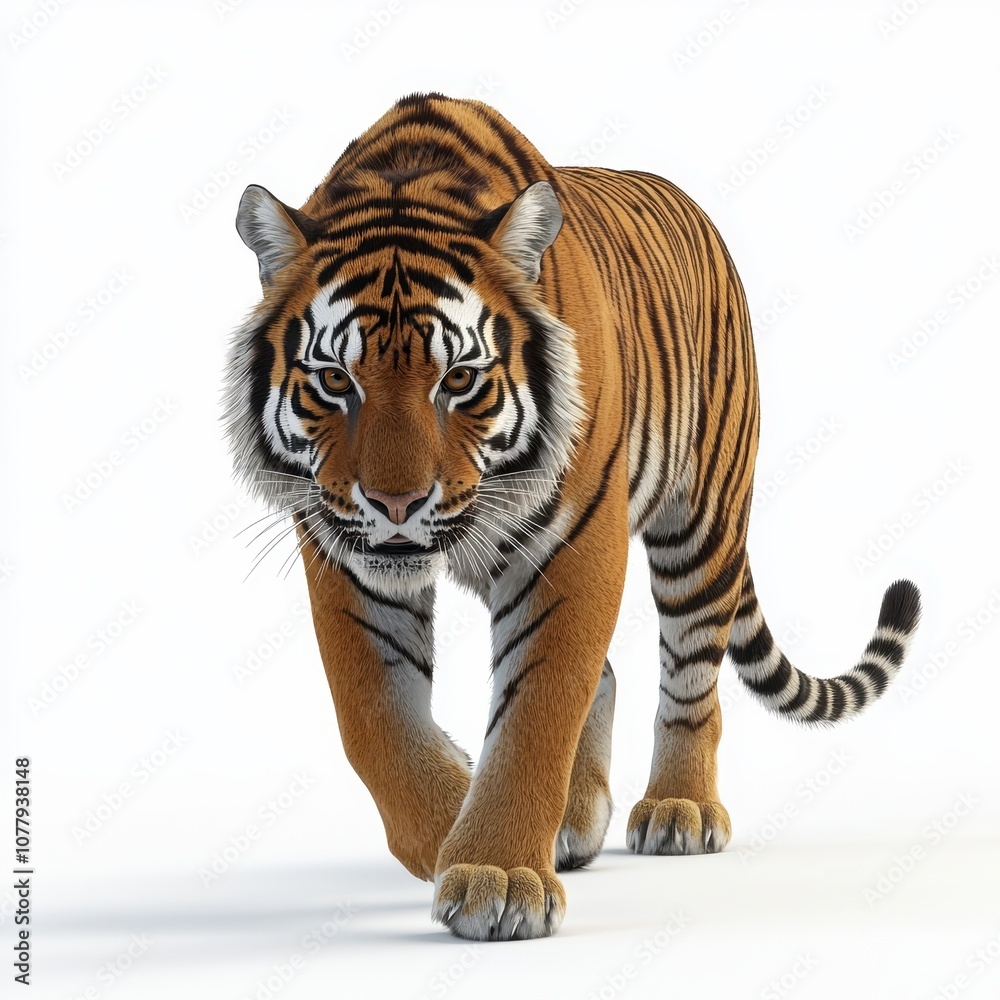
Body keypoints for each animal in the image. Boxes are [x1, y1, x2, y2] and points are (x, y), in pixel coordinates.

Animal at [223, 92, 921, 942]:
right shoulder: (343, 557)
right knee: (613, 669)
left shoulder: (574, 547)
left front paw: (495, 872)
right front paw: (453, 834)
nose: (396, 503)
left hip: (701, 522)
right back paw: (576, 823)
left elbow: (536, 712)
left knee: (692, 669)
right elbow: (375, 720)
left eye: (460, 379)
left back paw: (680, 809)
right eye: (333, 380)